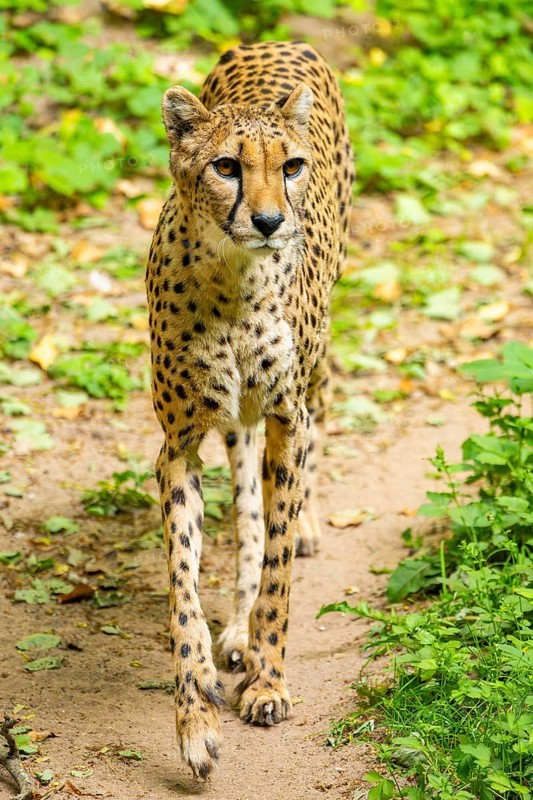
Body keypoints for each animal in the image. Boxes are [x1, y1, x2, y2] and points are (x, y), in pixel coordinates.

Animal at [145, 39, 354, 779]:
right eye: (226, 167)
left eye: (289, 167)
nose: (268, 222)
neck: (234, 280)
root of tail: (279, 41)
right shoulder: (178, 446)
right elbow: (184, 593)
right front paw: (195, 722)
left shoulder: (287, 418)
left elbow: (280, 572)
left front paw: (266, 682)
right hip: (235, 421)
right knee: (246, 497)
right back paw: (230, 629)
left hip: (314, 368)